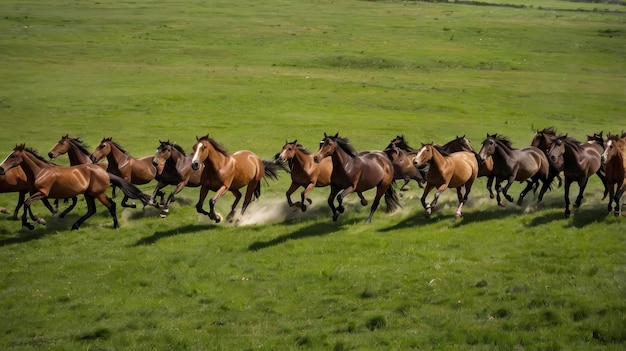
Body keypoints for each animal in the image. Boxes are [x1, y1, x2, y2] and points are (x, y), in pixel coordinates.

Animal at [0, 144, 150, 230]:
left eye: (13, 156)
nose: (1, 168)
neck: (40, 171)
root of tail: (104, 171)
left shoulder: (42, 193)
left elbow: (27, 203)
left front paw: (33, 222)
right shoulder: (37, 193)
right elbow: (29, 204)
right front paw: (36, 221)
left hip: (97, 194)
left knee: (111, 205)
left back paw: (115, 225)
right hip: (88, 194)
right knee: (92, 210)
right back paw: (75, 225)